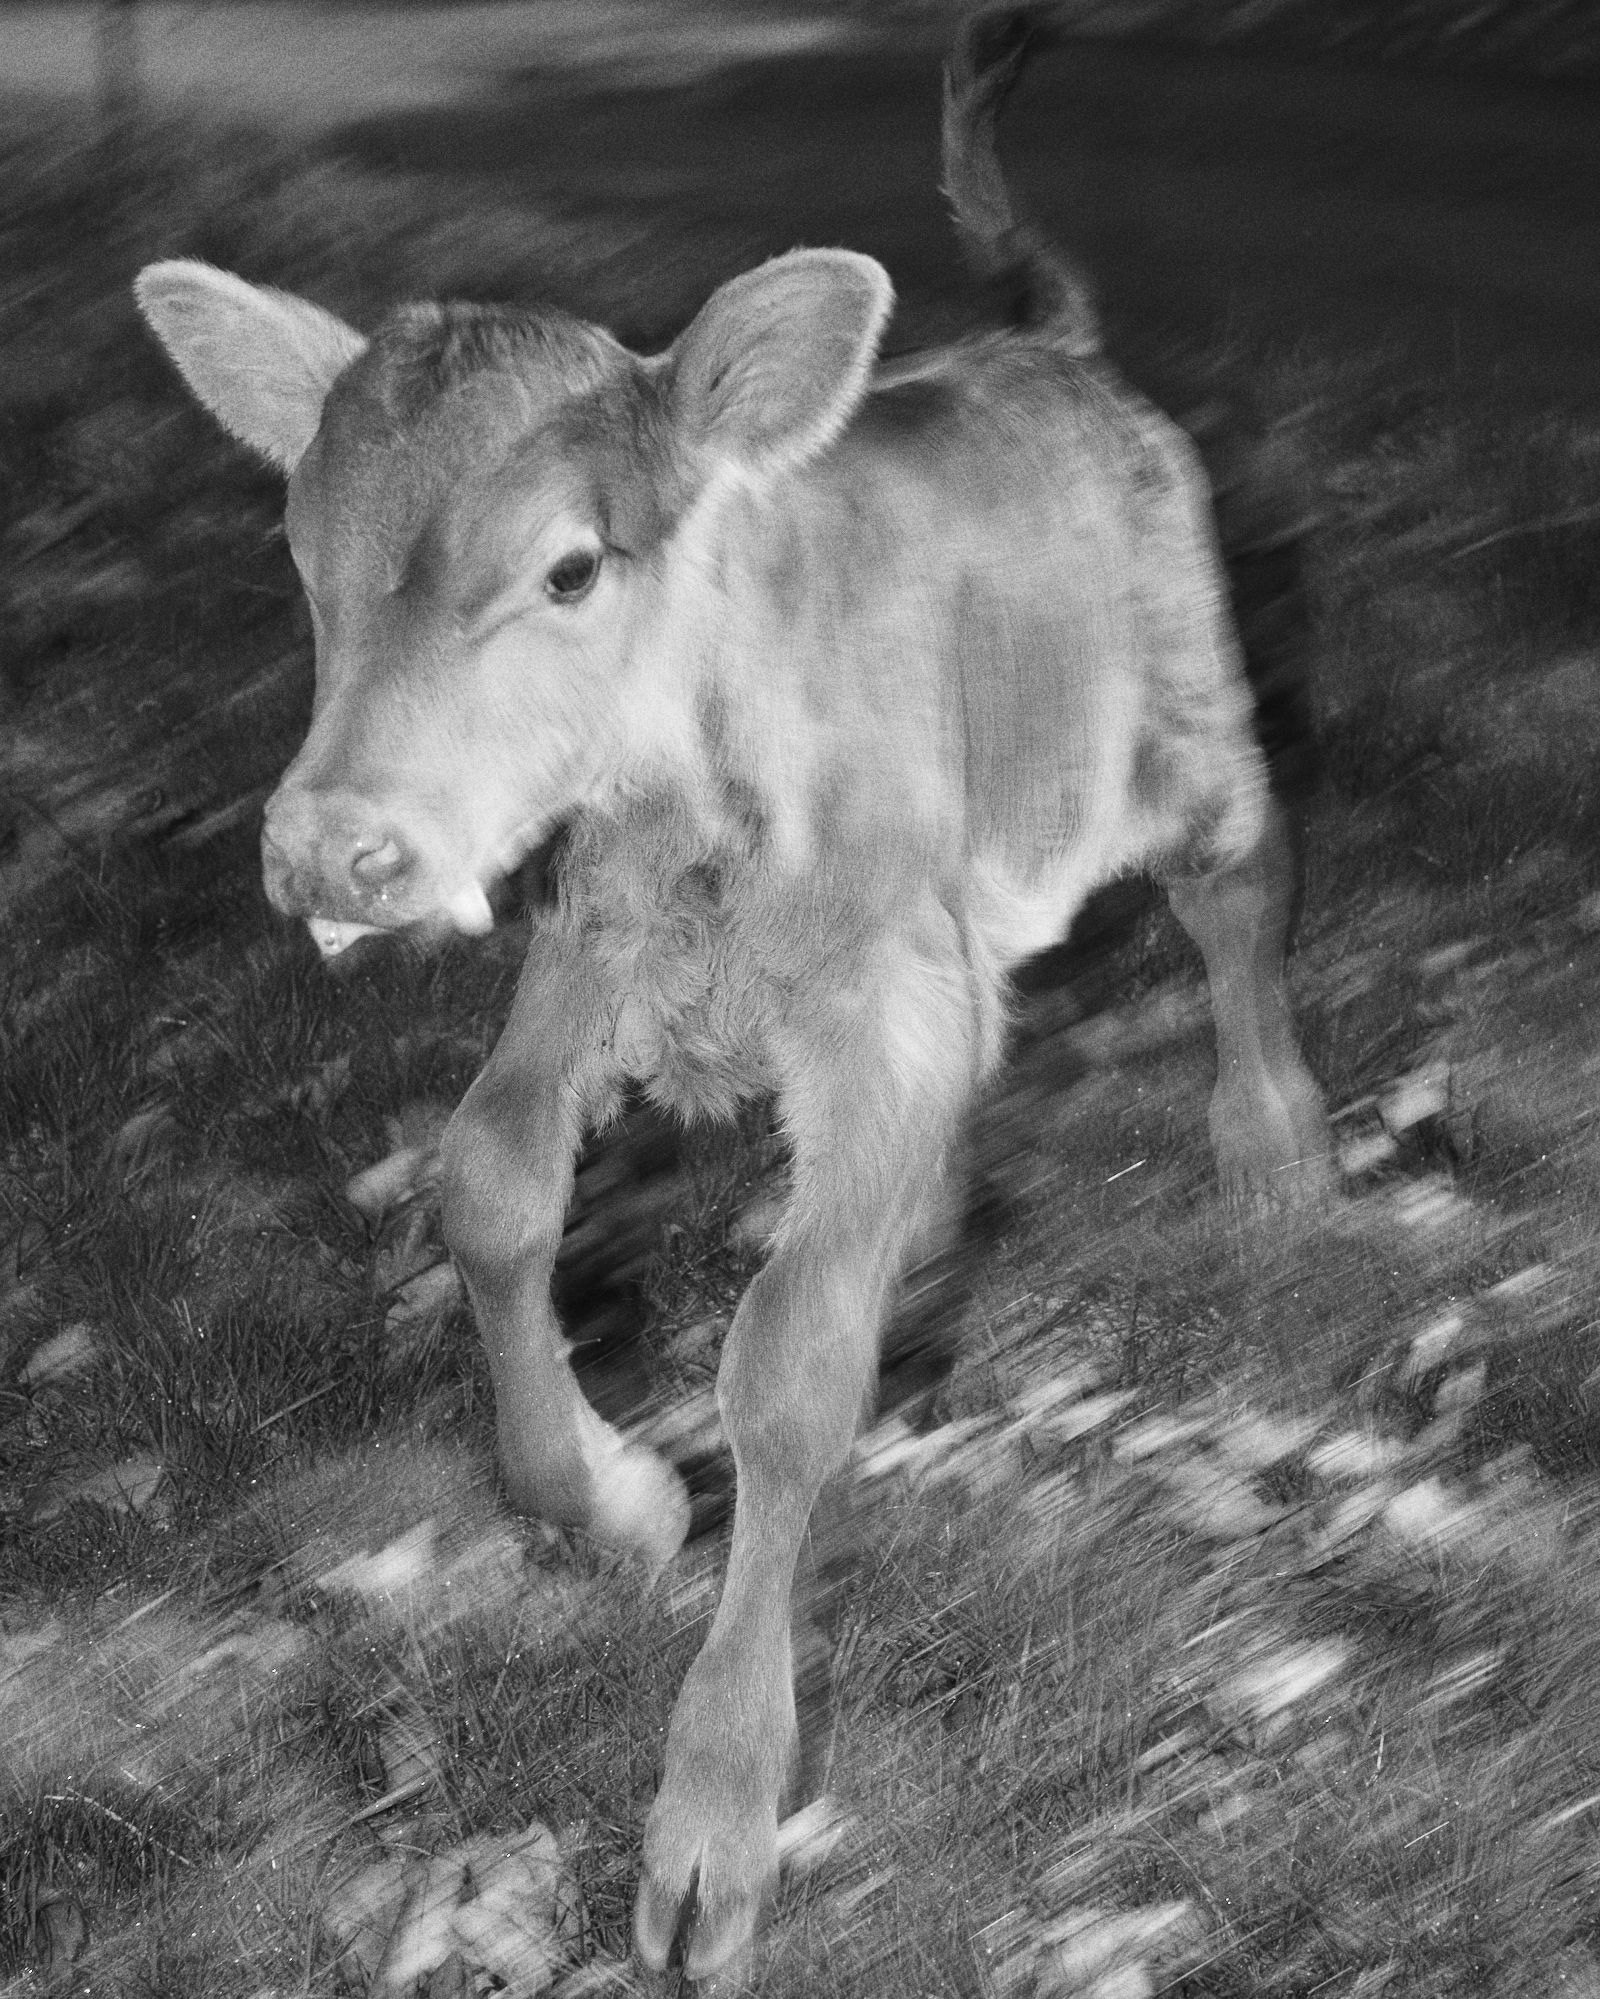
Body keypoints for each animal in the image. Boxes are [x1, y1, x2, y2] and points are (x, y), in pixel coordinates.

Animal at [135, 11, 1330, 1980]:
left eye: (568, 564)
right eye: (302, 564)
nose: (330, 850)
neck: (691, 804)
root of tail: (1049, 347)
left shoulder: (881, 984)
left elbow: (785, 1360)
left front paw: (713, 1826)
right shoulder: (591, 945)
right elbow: (489, 1182)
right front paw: (612, 1493)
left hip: (1187, 723)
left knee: (1239, 893)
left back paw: (1275, 1141)